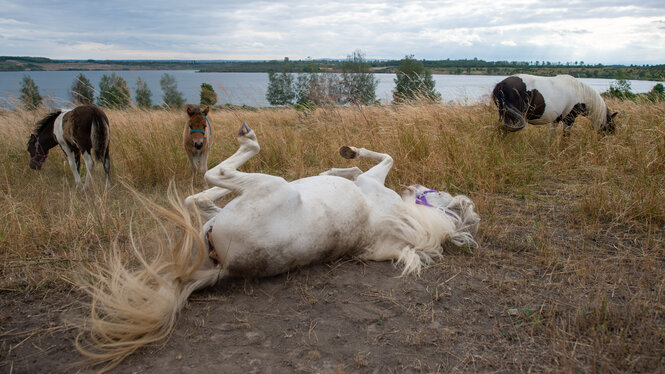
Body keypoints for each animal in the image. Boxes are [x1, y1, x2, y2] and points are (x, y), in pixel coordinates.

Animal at [78, 123, 480, 372]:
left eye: (436, 194)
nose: (415, 187)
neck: (407, 222)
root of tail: (225, 265)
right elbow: (351, 170)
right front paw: (343, 160)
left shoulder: (374, 180)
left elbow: (386, 159)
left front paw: (352, 152)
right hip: (225, 207)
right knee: (200, 196)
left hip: (267, 186)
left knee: (214, 175)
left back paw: (247, 137)